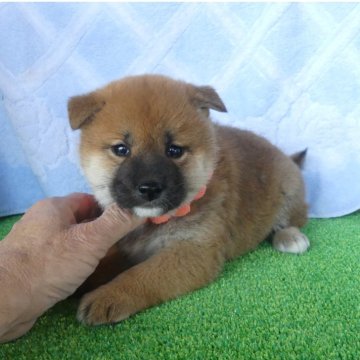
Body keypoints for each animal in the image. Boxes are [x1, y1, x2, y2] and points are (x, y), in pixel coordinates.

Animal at [68, 74, 310, 324]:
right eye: (121, 149)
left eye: (174, 151)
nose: (149, 188)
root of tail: (286, 157)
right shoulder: (129, 249)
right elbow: (107, 265)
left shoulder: (194, 250)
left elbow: (142, 274)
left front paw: (108, 296)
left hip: (290, 191)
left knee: (291, 220)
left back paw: (290, 237)